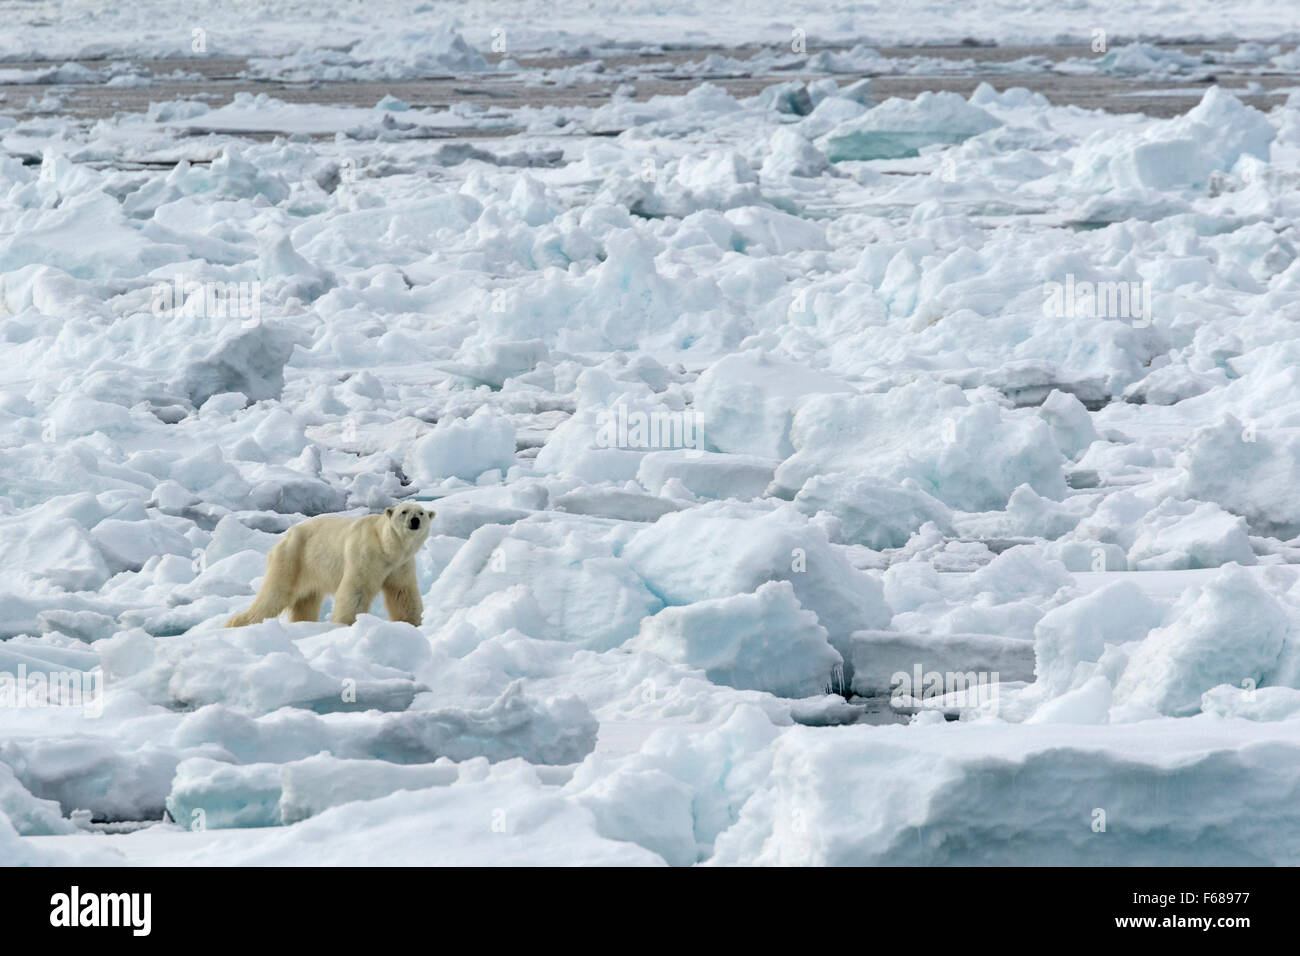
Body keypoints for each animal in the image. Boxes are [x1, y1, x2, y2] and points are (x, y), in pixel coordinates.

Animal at [226, 502, 434, 629]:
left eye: (421, 513)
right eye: (403, 512)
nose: (414, 521)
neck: (386, 547)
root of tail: (282, 539)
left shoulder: (401, 565)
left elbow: (402, 593)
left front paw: (412, 623)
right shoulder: (365, 556)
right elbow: (356, 591)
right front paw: (346, 624)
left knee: (306, 601)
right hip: (292, 560)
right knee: (274, 595)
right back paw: (236, 623)